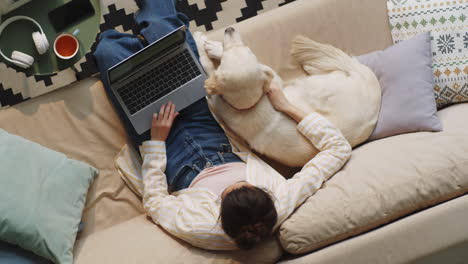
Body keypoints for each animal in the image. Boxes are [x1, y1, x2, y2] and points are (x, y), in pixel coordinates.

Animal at [193, 27, 380, 167]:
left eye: (248, 49)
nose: (230, 29)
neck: (251, 105)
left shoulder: (274, 80)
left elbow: (205, 65)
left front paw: (203, 43)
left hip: (315, 86)